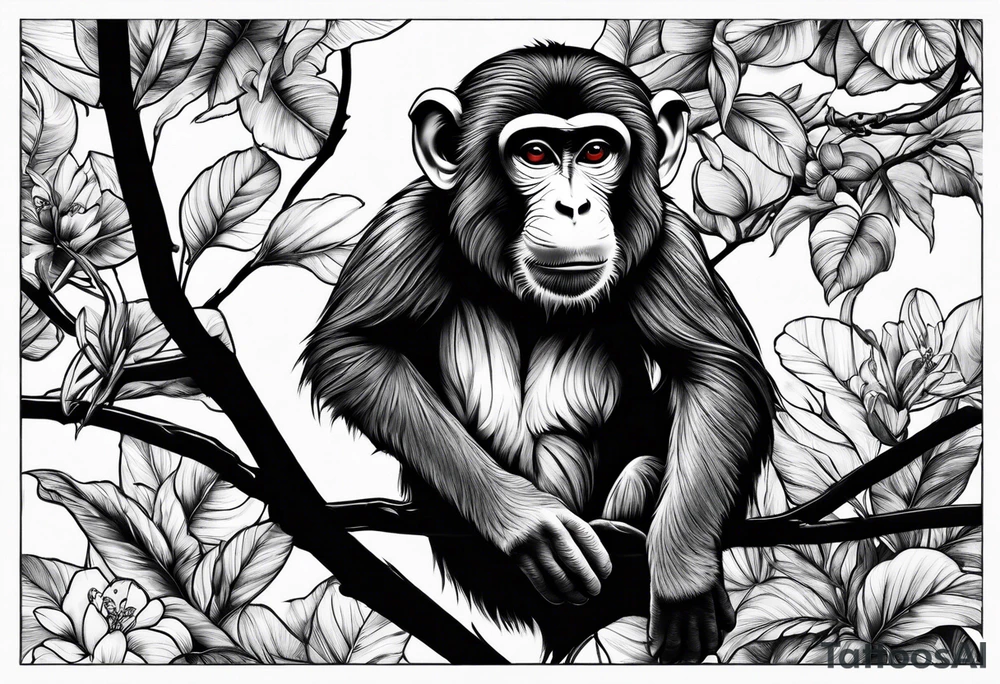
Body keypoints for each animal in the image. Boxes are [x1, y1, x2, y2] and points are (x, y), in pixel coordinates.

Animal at [302, 43, 774, 663]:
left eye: (597, 150)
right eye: (534, 153)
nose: (573, 207)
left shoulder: (670, 238)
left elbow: (713, 369)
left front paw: (682, 573)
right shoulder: (406, 223)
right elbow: (355, 348)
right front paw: (532, 524)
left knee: (648, 462)